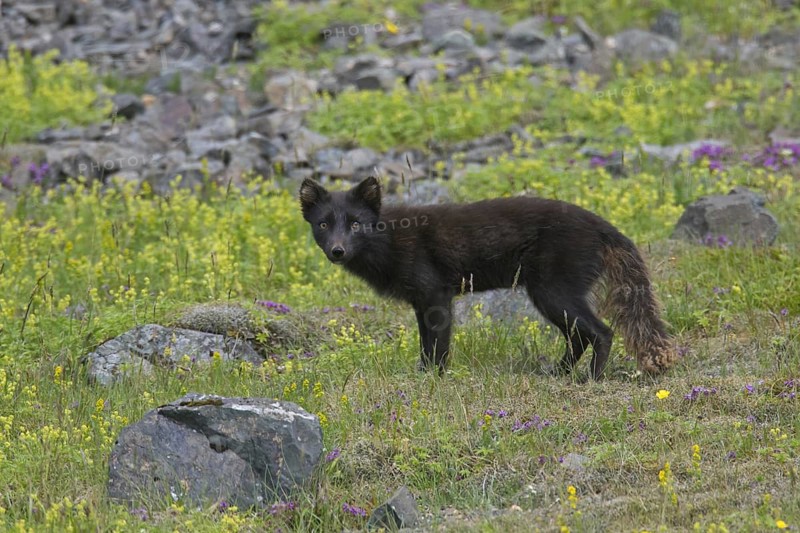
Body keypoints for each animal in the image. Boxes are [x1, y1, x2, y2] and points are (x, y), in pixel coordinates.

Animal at [299, 176, 677, 380]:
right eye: (323, 224)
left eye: (355, 224)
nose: (337, 251)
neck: (388, 239)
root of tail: (604, 226)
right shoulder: (421, 302)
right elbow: (425, 346)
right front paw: (423, 376)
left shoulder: (436, 295)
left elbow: (438, 347)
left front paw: (435, 380)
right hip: (551, 296)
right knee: (579, 337)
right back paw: (558, 374)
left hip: (552, 292)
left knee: (601, 332)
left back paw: (591, 380)